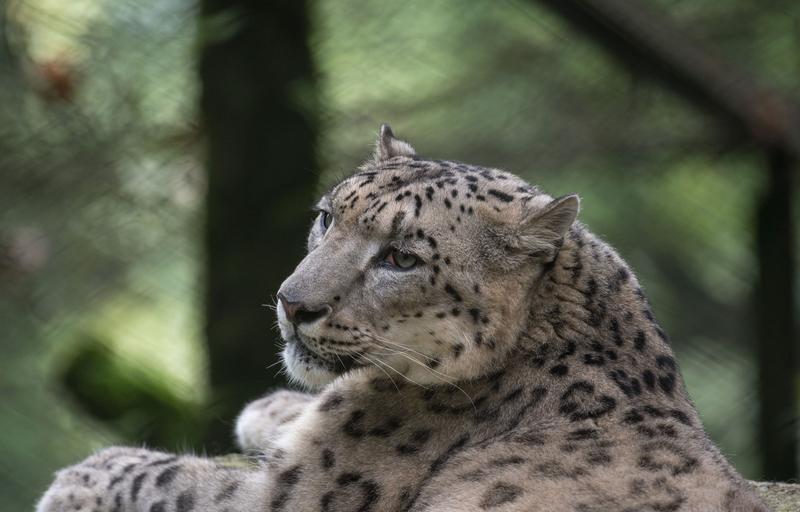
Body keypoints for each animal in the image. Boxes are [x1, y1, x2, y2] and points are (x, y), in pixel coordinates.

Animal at [37, 125, 769, 511]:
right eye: (327, 216)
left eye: (399, 257)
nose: (292, 302)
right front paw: (273, 409)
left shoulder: (295, 497)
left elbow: (179, 481)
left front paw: (85, 474)